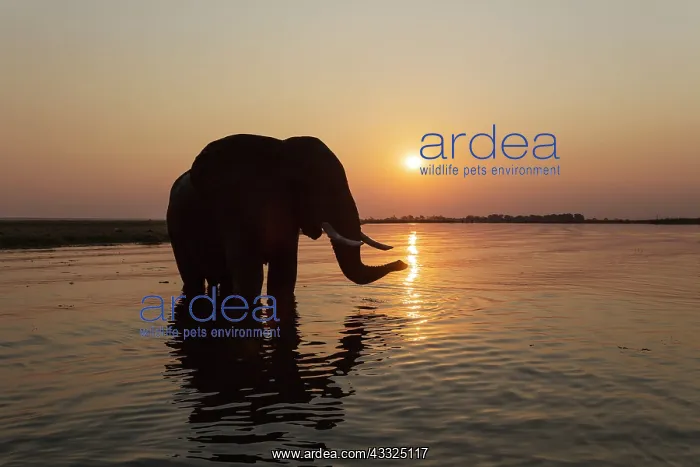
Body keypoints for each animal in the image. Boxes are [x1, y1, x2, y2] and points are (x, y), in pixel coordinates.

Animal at [166, 134, 408, 303]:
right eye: (319, 188)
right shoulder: (237, 207)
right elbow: (250, 277)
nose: (403, 263)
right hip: (176, 228)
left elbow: (284, 275)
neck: (279, 152)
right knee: (193, 279)